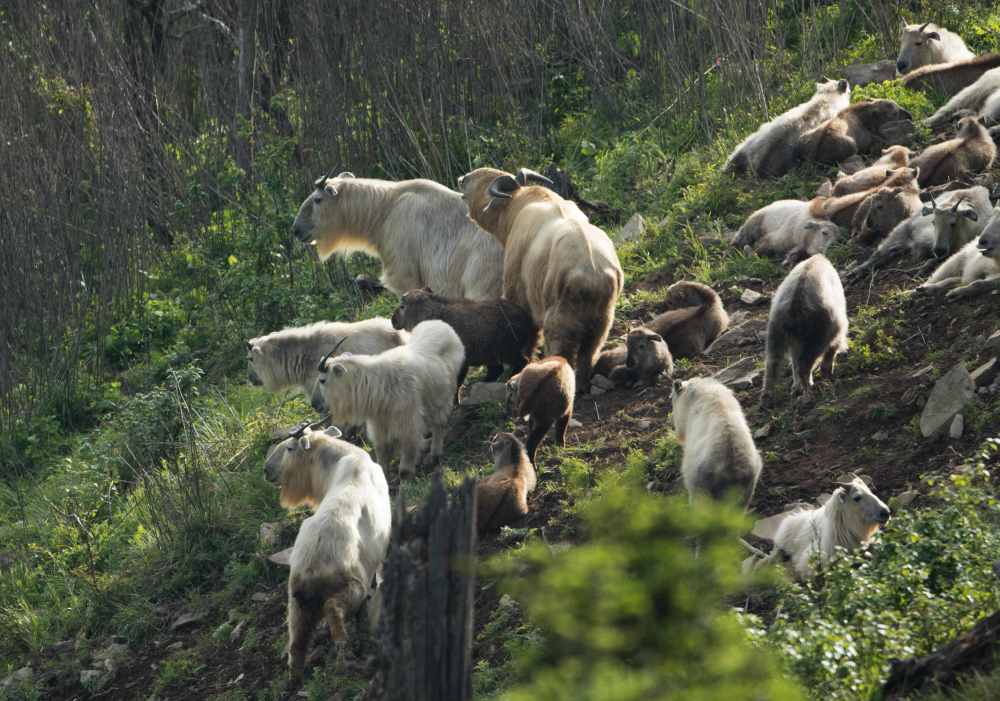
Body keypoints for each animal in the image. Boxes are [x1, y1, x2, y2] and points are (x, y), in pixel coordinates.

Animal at [388, 286, 540, 382]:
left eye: (402, 307)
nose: (392, 320)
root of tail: (529, 321)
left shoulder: (460, 361)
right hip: (491, 354)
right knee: (497, 370)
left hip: (507, 351)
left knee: (522, 362)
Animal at [458, 166, 620, 392]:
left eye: (484, 179)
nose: (462, 178)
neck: (519, 205)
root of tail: (591, 273)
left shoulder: (519, 297)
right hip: (601, 324)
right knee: (588, 356)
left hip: (559, 323)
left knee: (563, 354)